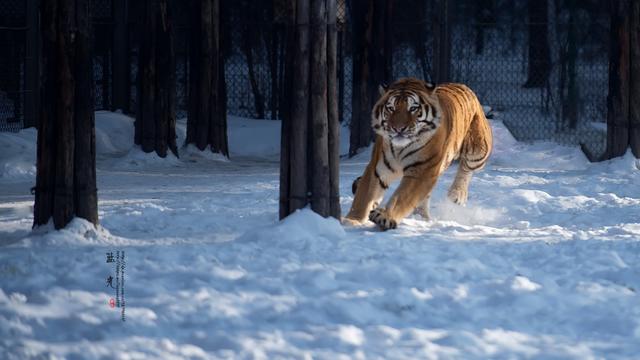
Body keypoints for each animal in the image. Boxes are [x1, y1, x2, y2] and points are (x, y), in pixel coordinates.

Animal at [342, 78, 492, 231]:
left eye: (413, 109)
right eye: (391, 108)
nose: (398, 128)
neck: (400, 149)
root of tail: (462, 86)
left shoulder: (421, 170)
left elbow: (402, 197)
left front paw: (385, 217)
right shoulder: (377, 168)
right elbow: (364, 197)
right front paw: (351, 220)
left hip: (478, 151)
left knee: (466, 168)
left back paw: (456, 194)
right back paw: (422, 217)